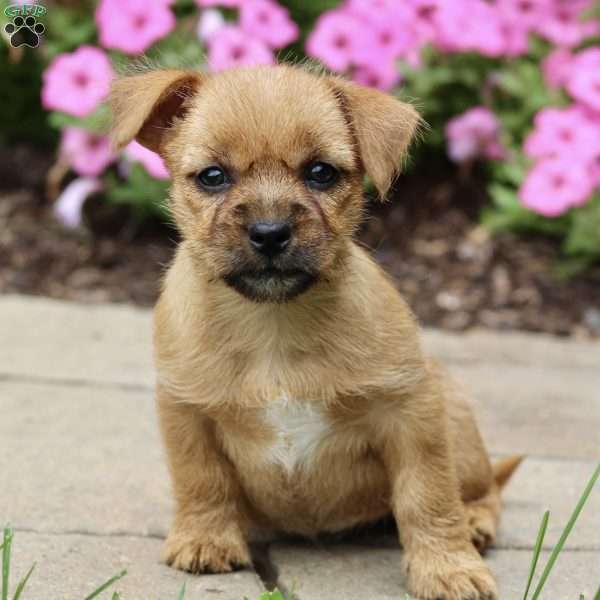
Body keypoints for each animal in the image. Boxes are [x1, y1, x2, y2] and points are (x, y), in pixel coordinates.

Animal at [111, 64, 520, 600]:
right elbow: (200, 477)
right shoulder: (185, 409)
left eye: (321, 172)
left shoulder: (410, 411)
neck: (273, 326)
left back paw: (475, 522)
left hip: (457, 421)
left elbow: (427, 494)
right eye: (213, 176)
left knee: (484, 487)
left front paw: (447, 568)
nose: (269, 232)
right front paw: (205, 538)